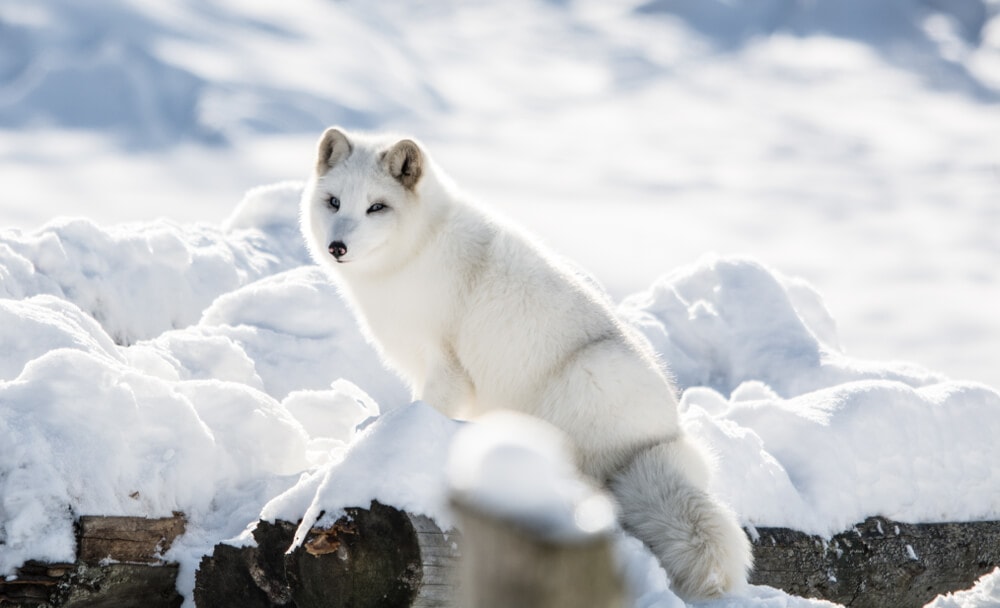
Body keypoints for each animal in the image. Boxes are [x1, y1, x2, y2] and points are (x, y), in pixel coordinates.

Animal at [300, 127, 752, 600]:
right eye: (334, 202)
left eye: (377, 207)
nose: (337, 247)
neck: (417, 250)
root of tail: (663, 438)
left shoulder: (446, 367)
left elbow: (425, 410)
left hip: (583, 381)